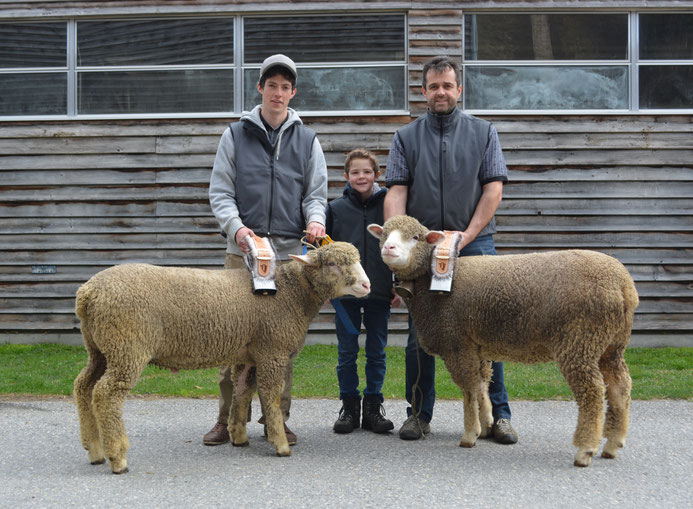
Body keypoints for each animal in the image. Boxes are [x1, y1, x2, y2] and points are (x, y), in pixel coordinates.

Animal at [368, 214, 636, 464]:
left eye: (416, 237)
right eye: (385, 234)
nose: (388, 248)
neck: (428, 287)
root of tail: (623, 285)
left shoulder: (457, 344)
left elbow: (468, 389)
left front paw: (470, 434)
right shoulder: (477, 346)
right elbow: (481, 385)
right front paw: (486, 425)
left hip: (581, 339)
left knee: (593, 391)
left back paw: (585, 449)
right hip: (611, 343)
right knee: (620, 386)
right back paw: (613, 443)